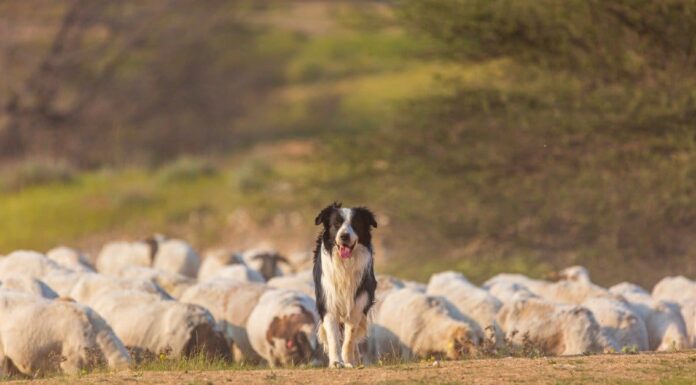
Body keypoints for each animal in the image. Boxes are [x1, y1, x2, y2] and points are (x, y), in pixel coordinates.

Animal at [312, 201, 376, 366]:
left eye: (355, 224)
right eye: (336, 224)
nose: (344, 236)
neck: (345, 264)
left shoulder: (358, 303)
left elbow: (350, 337)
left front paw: (348, 360)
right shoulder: (328, 301)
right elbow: (333, 337)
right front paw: (335, 362)